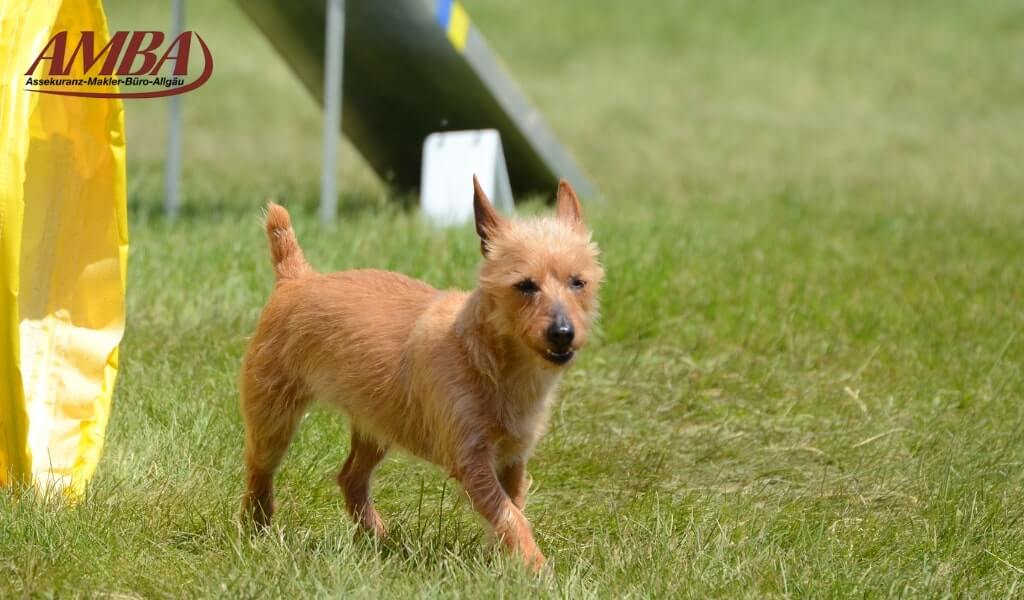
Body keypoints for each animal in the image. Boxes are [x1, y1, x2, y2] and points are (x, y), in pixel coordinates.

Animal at [241, 175, 598, 569]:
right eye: (525, 285)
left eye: (578, 282)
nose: (563, 333)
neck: (493, 361)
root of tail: (297, 278)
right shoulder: (472, 461)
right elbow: (509, 514)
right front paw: (537, 566)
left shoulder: (512, 458)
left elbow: (513, 508)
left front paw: (503, 562)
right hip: (274, 416)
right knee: (260, 468)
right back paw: (257, 525)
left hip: (376, 424)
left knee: (351, 477)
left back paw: (379, 538)